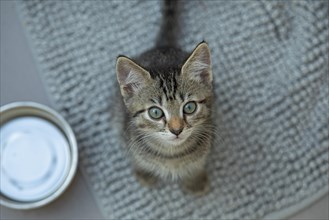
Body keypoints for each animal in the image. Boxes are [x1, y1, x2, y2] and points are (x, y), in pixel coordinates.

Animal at [114, 0, 213, 195]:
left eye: (189, 107)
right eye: (155, 113)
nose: (176, 130)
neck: (172, 155)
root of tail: (163, 47)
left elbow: (198, 163)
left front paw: (195, 180)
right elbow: (138, 159)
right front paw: (144, 173)